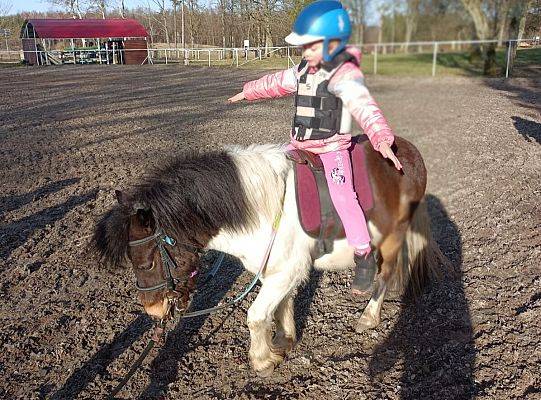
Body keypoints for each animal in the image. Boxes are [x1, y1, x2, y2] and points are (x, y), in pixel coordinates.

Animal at [92, 138, 438, 378]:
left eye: (147, 262)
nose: (152, 311)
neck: (260, 210)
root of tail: (410, 152)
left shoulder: (285, 272)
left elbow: (256, 316)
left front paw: (262, 360)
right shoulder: (279, 272)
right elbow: (281, 305)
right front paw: (284, 340)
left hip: (392, 238)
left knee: (386, 273)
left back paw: (368, 316)